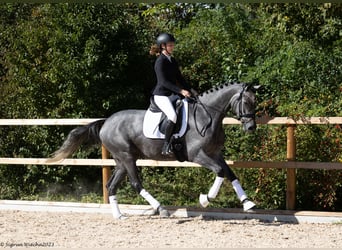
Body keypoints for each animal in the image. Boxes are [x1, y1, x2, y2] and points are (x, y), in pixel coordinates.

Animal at [48, 82, 260, 219]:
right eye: (246, 102)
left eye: (255, 102)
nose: (251, 128)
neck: (205, 116)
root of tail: (106, 122)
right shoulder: (197, 155)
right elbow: (219, 171)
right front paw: (205, 200)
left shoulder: (215, 153)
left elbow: (230, 173)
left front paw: (248, 203)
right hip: (127, 157)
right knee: (136, 183)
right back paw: (161, 209)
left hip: (122, 161)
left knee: (111, 186)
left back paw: (119, 216)